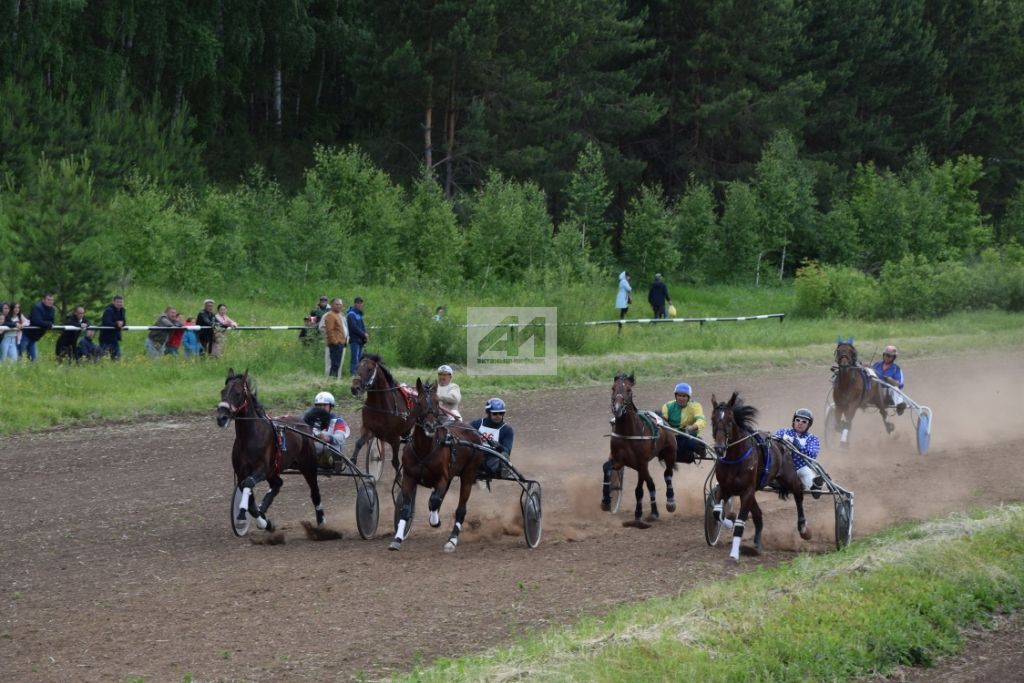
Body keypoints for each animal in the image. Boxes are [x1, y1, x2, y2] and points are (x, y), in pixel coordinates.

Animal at [217, 370, 325, 532]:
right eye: (222, 392)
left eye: (237, 393)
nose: (221, 418)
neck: (250, 437)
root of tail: (303, 424)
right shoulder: (242, 474)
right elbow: (250, 499)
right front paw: (263, 521)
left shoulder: (261, 469)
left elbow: (249, 483)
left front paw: (242, 515)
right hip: (274, 470)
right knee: (277, 483)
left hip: (308, 465)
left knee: (315, 492)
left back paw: (322, 521)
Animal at [389, 378, 489, 557]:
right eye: (419, 402)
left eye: (437, 402)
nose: (429, 425)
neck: (424, 450)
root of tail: (473, 431)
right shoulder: (409, 477)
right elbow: (406, 508)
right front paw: (397, 539)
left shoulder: (441, 479)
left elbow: (434, 501)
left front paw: (435, 521)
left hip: (469, 474)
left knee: (461, 509)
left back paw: (451, 541)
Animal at [598, 374, 679, 524]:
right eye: (613, 388)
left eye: (629, 390)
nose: (617, 409)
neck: (628, 433)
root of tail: (664, 422)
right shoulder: (619, 460)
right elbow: (606, 467)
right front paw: (606, 501)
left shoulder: (641, 463)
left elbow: (644, 487)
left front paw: (646, 513)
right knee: (648, 484)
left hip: (670, 453)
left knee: (667, 474)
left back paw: (670, 501)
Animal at [712, 393, 806, 565]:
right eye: (713, 420)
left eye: (729, 420)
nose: (719, 448)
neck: (734, 459)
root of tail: (783, 444)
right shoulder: (725, 488)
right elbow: (717, 513)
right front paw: (728, 522)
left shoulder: (747, 492)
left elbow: (740, 523)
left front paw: (734, 555)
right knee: (758, 515)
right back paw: (756, 545)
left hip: (789, 477)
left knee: (798, 493)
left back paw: (803, 527)